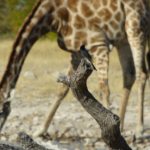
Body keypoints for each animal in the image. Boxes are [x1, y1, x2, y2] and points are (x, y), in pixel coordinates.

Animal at [0, 0, 149, 137]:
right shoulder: (76, 52)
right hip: (122, 40)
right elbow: (63, 89)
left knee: (141, 74)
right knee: (129, 74)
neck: (54, 16)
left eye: (1, 111)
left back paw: (139, 129)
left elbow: (104, 88)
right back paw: (122, 126)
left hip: (136, 27)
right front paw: (40, 130)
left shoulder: (98, 44)